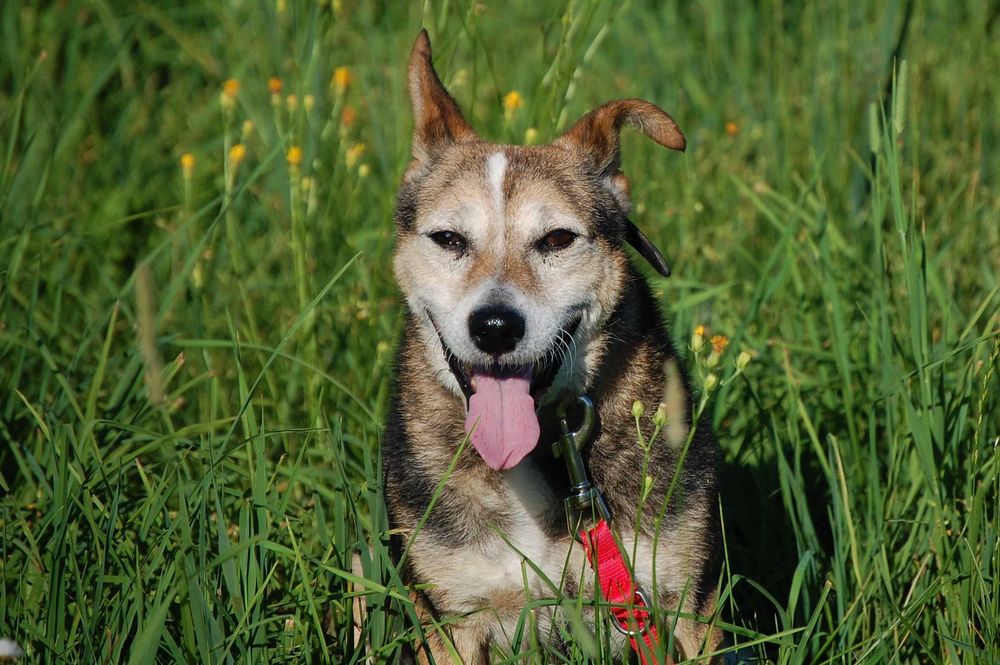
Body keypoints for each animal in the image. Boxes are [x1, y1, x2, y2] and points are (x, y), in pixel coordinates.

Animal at [380, 28, 720, 660]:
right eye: (449, 239)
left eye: (557, 239)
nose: (494, 327)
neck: (540, 451)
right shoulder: (452, 619)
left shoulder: (684, 606)